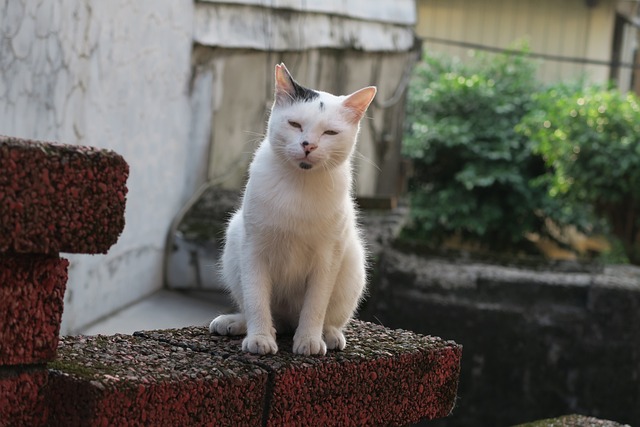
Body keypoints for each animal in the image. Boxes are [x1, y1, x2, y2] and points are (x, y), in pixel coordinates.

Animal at [210, 63, 376, 356]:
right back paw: (237, 323)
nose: (308, 144)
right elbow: (256, 299)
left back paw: (329, 335)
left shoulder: (327, 258)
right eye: (295, 124)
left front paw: (309, 340)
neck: (300, 184)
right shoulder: (253, 249)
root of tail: (288, 322)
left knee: (327, 318)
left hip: (353, 261)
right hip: (234, 242)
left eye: (330, 133)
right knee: (263, 312)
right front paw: (260, 338)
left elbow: (315, 304)